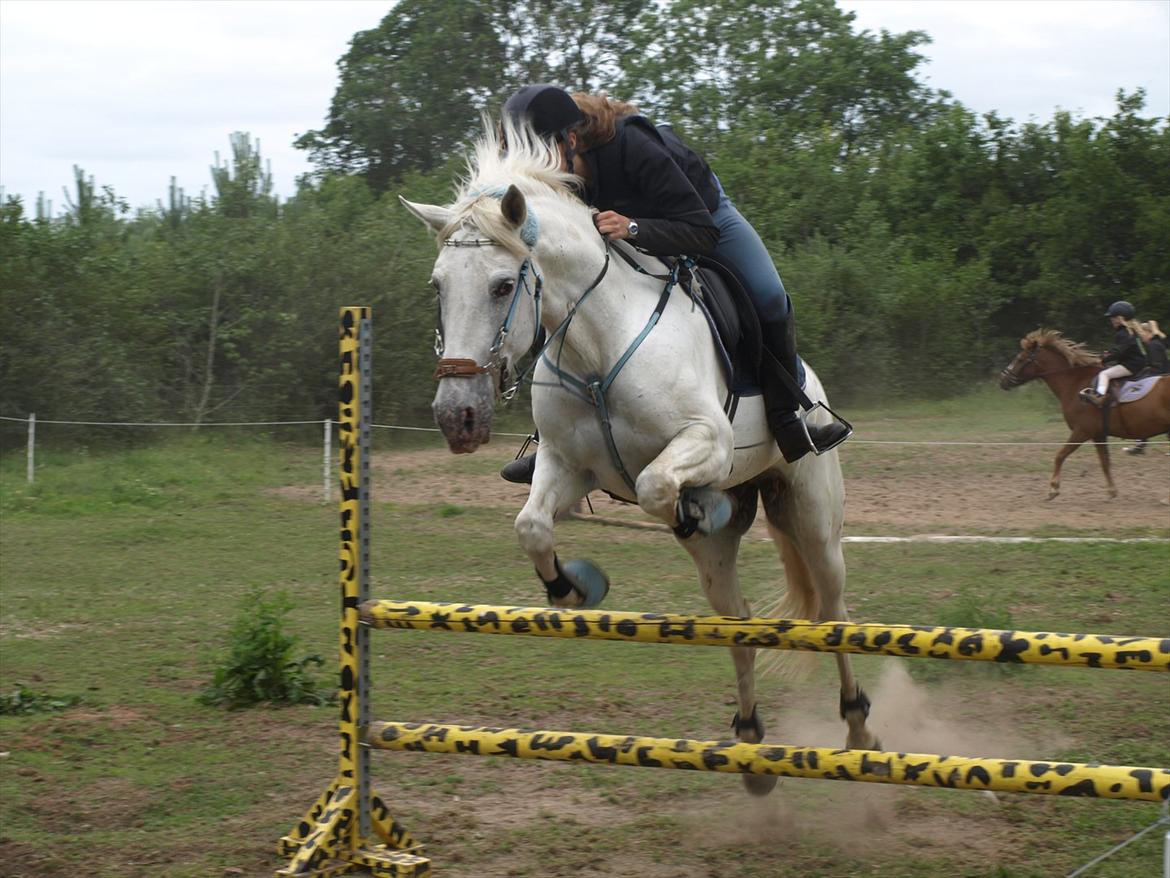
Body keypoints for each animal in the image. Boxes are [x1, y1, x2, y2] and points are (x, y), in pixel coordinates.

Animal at [402, 120, 879, 796]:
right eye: (438, 287)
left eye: (502, 285)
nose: (457, 417)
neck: (595, 343)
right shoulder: (566, 468)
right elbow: (531, 526)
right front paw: (574, 588)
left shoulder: (707, 440)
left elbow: (655, 485)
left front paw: (695, 506)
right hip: (719, 562)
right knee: (738, 623)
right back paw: (751, 747)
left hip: (811, 512)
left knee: (835, 611)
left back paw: (859, 729)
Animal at [996, 327, 1170, 501]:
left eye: (1020, 359)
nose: (1002, 379)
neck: (1073, 383)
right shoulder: (1098, 435)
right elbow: (1104, 462)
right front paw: (1112, 491)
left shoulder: (1082, 431)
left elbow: (1060, 455)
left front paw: (1053, 489)